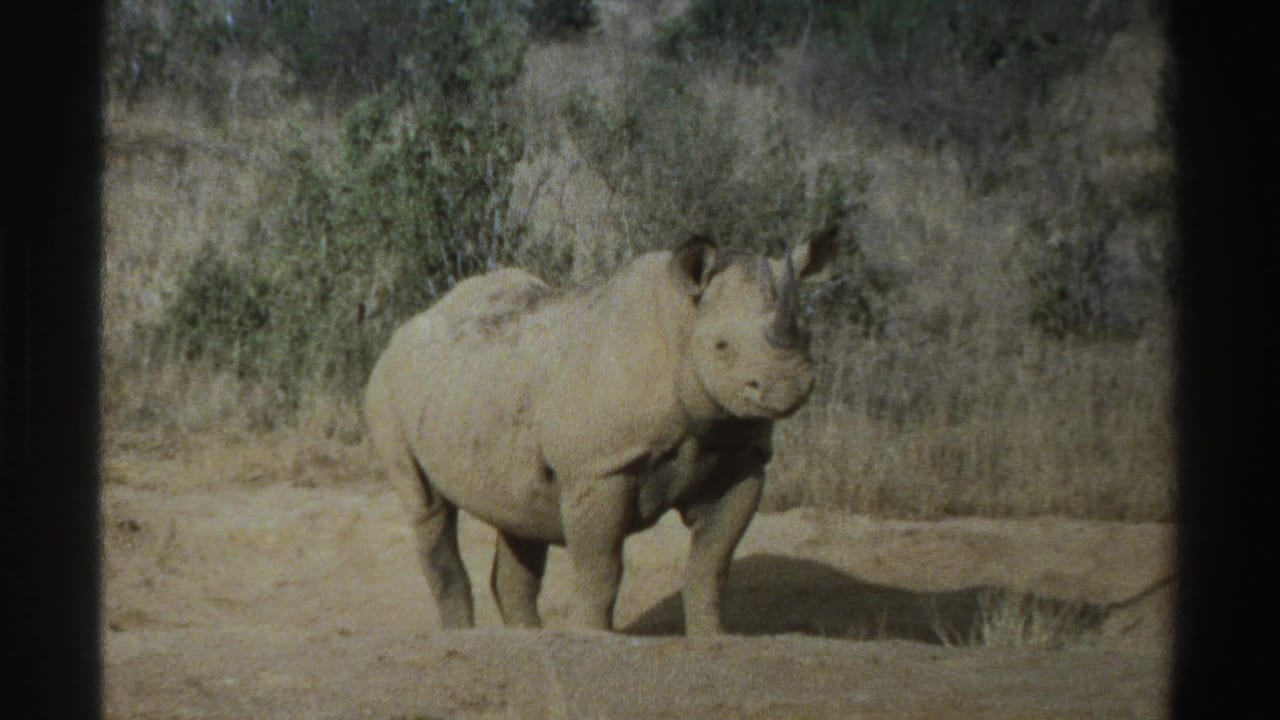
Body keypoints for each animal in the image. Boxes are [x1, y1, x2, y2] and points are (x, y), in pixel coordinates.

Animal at [364, 227, 837, 635]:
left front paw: (712, 638)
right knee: (427, 506)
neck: (683, 324)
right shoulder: (599, 467)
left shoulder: (742, 457)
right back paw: (464, 635)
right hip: (389, 387)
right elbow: (601, 566)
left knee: (518, 513)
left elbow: (711, 563)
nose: (787, 386)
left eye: (807, 335)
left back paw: (527, 638)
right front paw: (593, 636)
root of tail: (406, 328)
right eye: (721, 346)